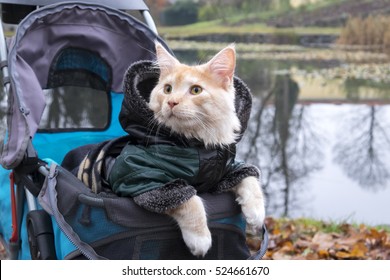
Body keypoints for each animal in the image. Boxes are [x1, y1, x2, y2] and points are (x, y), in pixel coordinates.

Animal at [148, 42, 266, 258]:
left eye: (196, 90)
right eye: (167, 89)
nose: (171, 102)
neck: (199, 145)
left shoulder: (227, 170)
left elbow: (249, 178)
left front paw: (255, 212)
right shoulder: (148, 181)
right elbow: (190, 200)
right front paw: (199, 238)